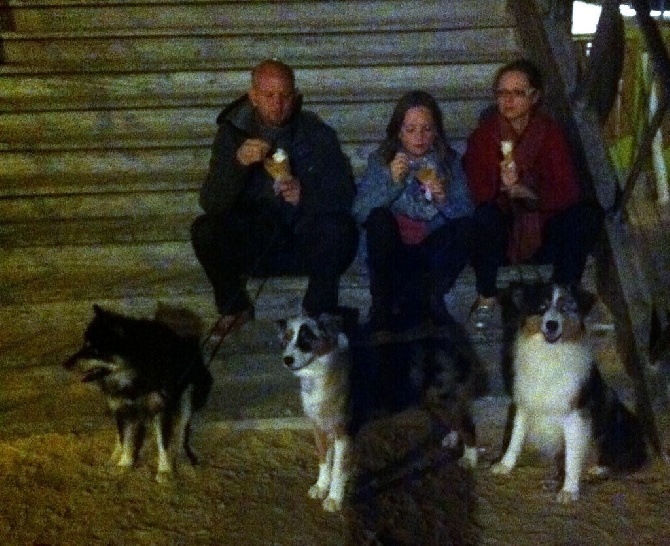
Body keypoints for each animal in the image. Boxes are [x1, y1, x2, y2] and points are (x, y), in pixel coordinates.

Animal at [63, 306, 213, 480]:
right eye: (83, 346)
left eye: (94, 350)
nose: (65, 364)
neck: (133, 374)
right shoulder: (123, 408)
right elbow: (126, 439)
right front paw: (124, 463)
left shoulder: (160, 408)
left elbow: (164, 443)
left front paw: (165, 470)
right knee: (119, 435)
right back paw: (115, 455)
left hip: (186, 400)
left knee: (181, 431)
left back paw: (184, 457)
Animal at [280, 310, 484, 510]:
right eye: (287, 337)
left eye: (307, 338)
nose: (287, 360)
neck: (321, 370)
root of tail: (452, 343)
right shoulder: (320, 427)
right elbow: (323, 461)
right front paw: (321, 487)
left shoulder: (343, 433)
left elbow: (338, 469)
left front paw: (334, 499)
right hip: (436, 403)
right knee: (458, 422)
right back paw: (452, 439)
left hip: (443, 401)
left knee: (468, 426)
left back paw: (470, 459)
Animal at [490, 284, 648, 502]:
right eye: (542, 307)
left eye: (565, 308)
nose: (551, 325)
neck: (549, 355)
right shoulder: (524, 403)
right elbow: (515, 438)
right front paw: (505, 465)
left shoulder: (574, 416)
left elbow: (572, 456)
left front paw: (569, 490)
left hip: (616, 422)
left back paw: (598, 469)